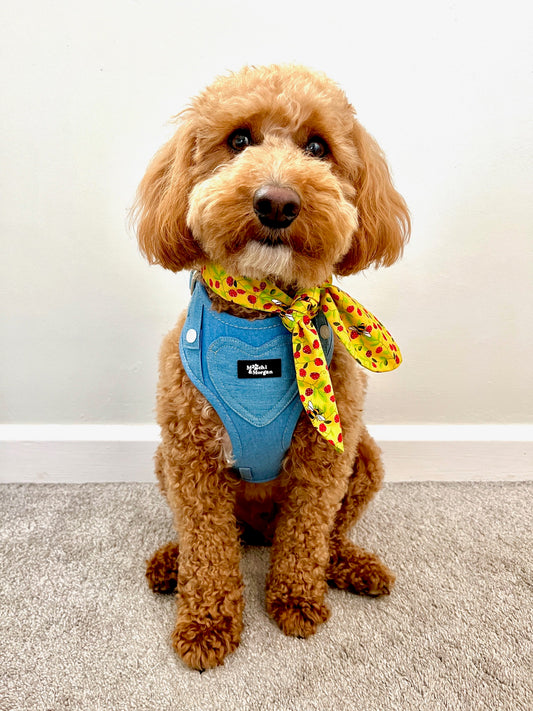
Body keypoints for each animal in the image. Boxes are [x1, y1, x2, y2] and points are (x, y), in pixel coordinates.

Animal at [132, 64, 408, 672]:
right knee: (213, 537)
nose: (277, 202)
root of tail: (258, 532)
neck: (265, 311)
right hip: (166, 461)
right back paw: (171, 563)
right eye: (238, 140)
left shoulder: (324, 461)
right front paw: (206, 625)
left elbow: (305, 536)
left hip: (365, 458)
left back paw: (351, 567)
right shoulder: (192, 460)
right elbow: (208, 550)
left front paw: (296, 600)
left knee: (327, 536)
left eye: (318, 147)